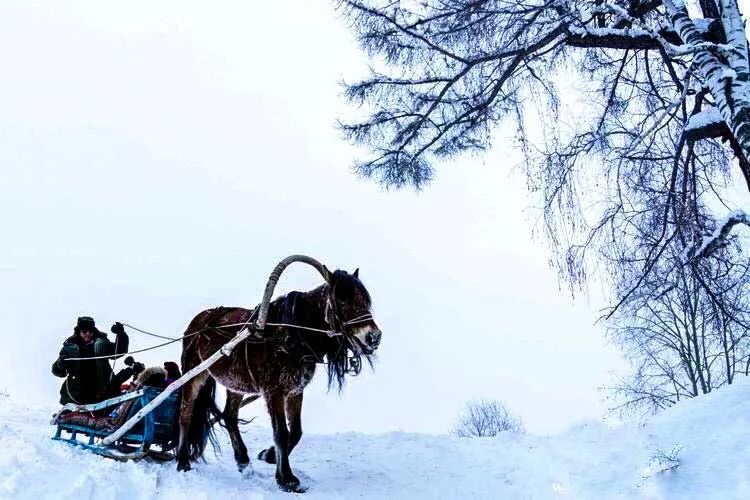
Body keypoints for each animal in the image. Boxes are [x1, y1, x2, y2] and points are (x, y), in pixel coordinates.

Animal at [176, 268, 382, 490]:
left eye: (365, 300)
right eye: (342, 301)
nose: (373, 337)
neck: (292, 334)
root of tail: (198, 321)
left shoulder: (295, 391)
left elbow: (296, 431)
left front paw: (269, 455)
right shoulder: (273, 392)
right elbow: (281, 433)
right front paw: (286, 478)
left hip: (236, 384)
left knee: (229, 416)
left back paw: (243, 462)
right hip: (194, 374)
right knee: (186, 413)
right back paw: (183, 461)